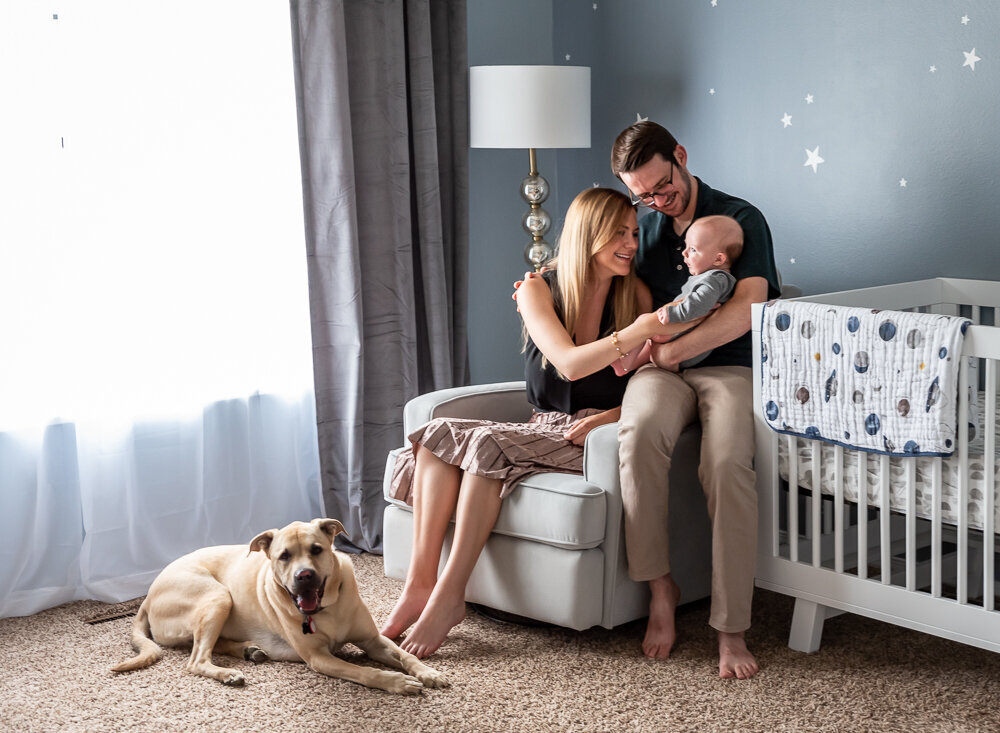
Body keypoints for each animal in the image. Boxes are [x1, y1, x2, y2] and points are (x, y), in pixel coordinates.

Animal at [112, 516, 450, 692]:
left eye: (316, 549)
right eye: (284, 556)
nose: (305, 576)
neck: (326, 609)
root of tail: (148, 595)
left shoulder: (373, 640)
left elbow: (406, 655)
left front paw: (428, 673)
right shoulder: (319, 658)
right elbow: (363, 672)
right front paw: (396, 682)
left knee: (204, 646)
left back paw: (248, 650)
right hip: (217, 596)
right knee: (196, 659)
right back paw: (229, 673)